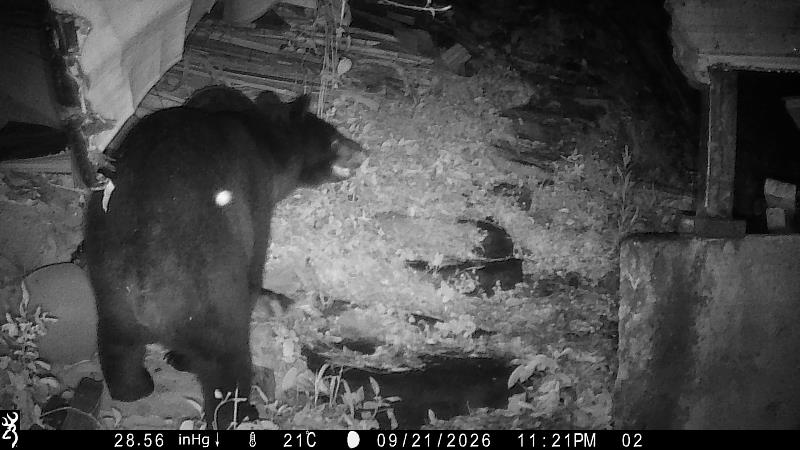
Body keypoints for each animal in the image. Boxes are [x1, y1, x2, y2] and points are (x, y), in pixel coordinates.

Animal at [83, 86, 363, 429]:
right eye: (334, 139)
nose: (361, 150)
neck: (261, 139)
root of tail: (142, 283)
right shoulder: (255, 197)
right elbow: (256, 261)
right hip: (211, 295)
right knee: (226, 359)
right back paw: (239, 411)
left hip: (110, 290)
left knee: (115, 342)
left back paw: (134, 388)